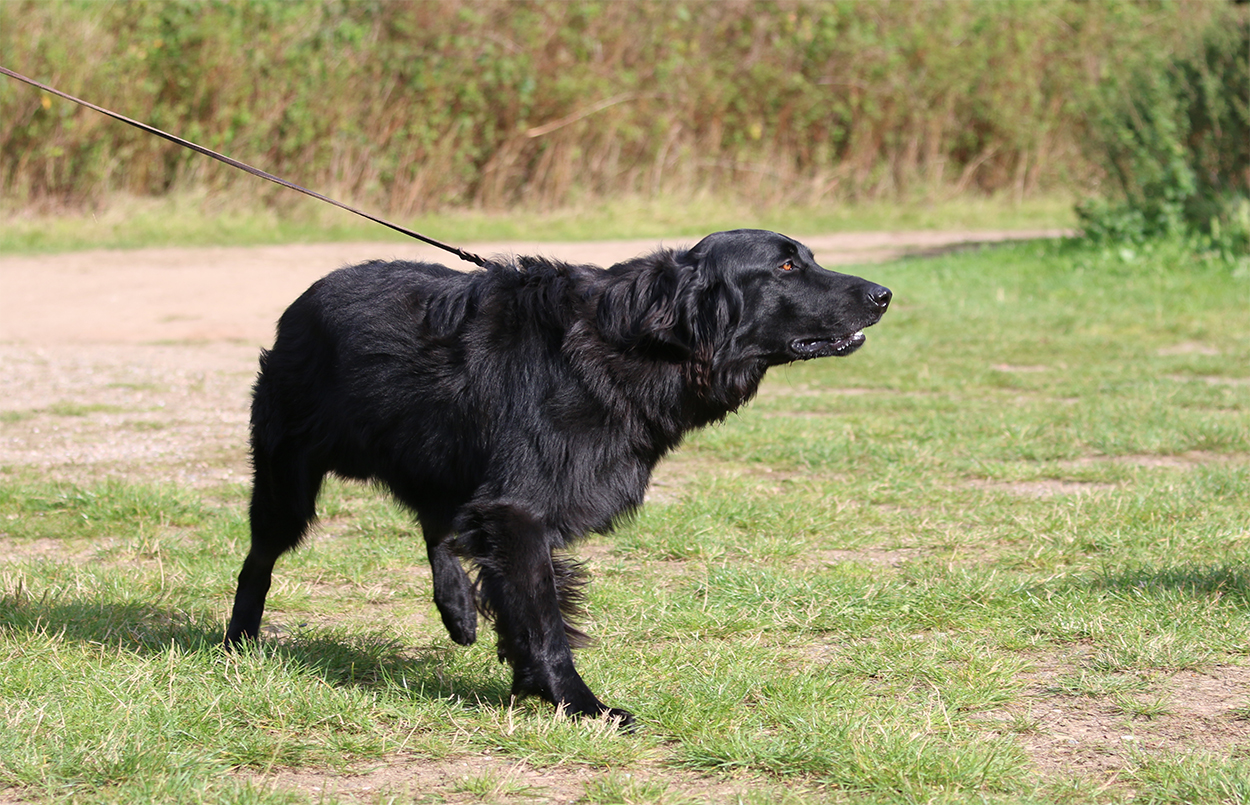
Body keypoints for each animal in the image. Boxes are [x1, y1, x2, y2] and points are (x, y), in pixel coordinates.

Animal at [225, 229, 890, 727]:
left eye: (808, 258)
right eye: (786, 265)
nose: (884, 294)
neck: (641, 339)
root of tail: (306, 297)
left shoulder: (510, 501)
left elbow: (523, 599)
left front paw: (528, 679)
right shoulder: (519, 507)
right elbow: (542, 619)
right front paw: (579, 705)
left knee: (438, 526)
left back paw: (458, 611)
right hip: (290, 477)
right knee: (260, 558)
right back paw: (238, 643)